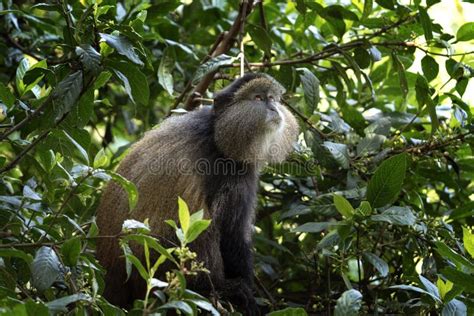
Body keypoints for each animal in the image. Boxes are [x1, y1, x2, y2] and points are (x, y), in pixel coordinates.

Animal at [94, 73, 298, 312]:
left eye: (273, 98)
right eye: (258, 98)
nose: (274, 107)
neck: (216, 132)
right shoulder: (233, 175)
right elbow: (232, 235)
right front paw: (247, 296)